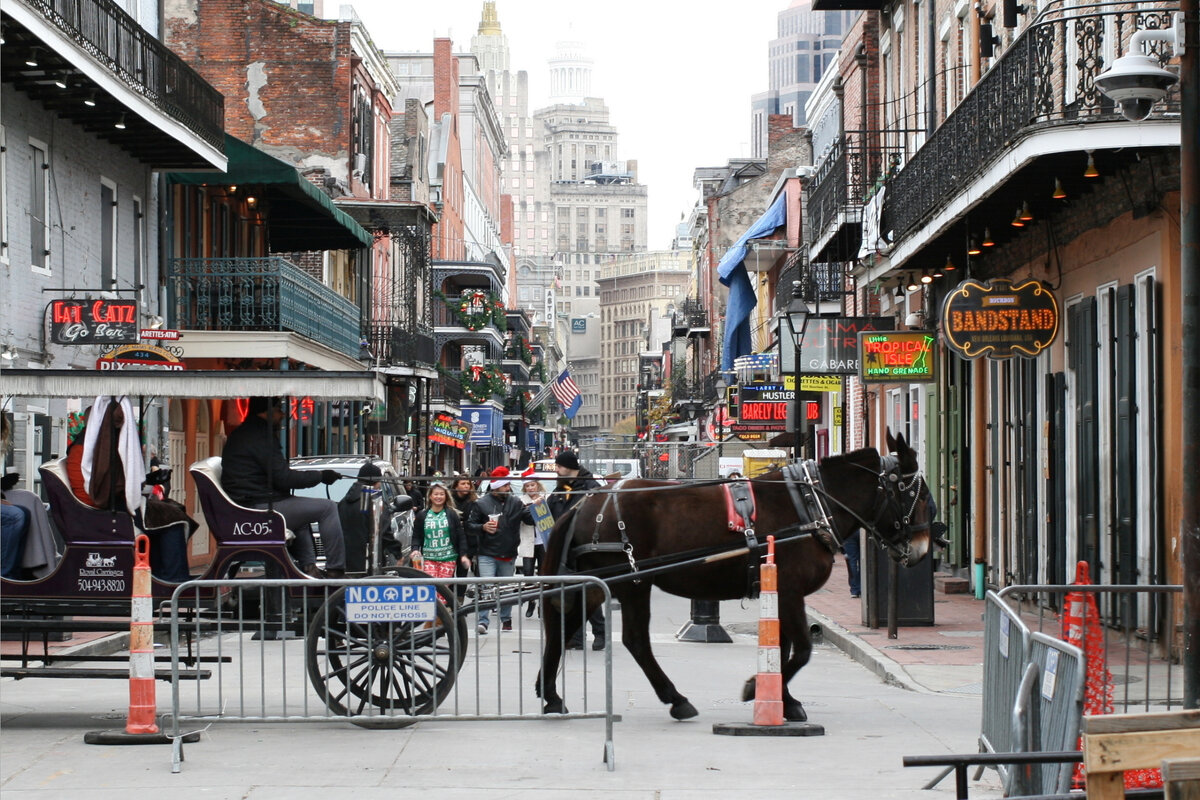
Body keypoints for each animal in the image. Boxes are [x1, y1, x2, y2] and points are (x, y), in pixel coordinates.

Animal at [537, 434, 936, 724]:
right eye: (916, 495)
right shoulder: (790, 590)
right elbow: (802, 649)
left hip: (598, 582)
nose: (922, 547)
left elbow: (782, 648)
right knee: (635, 640)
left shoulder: (779, 592)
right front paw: (758, 690)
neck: (810, 505)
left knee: (565, 625)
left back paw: (551, 695)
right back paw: (675, 699)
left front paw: (780, 697)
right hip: (633, 582)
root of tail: (585, 502)